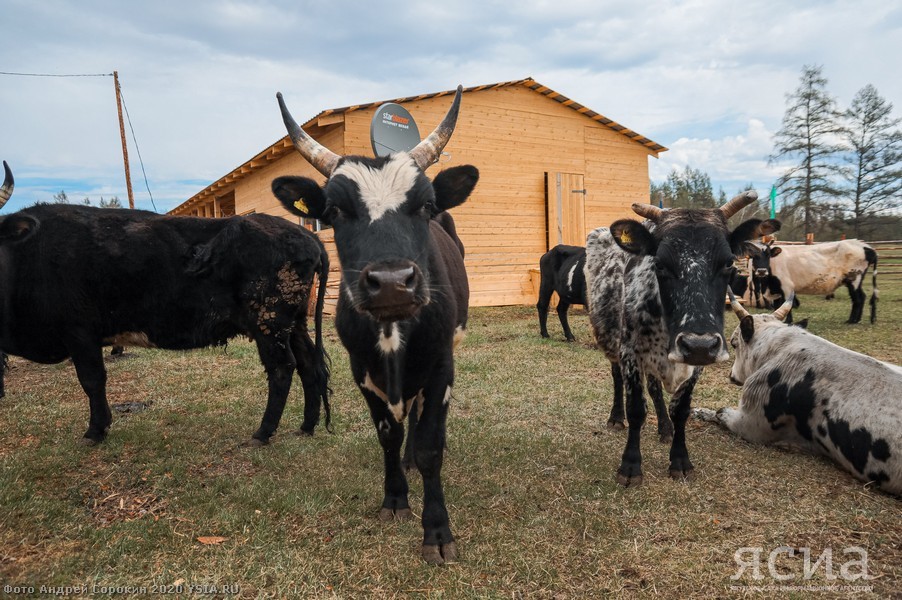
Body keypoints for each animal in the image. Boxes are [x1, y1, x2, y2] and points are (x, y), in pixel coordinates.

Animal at [0, 159, 332, 446]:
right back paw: (307, 425)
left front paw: (95, 431)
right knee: (308, 363)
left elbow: (92, 380)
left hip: (269, 322)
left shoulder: (79, 332)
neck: (30, 254)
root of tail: (305, 234)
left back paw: (263, 432)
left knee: (282, 368)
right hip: (294, 322)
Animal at [270, 86, 476, 564]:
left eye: (426, 205)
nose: (392, 283)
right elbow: (387, 434)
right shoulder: (361, 369)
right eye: (333, 211)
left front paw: (437, 532)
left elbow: (431, 446)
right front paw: (395, 498)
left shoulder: (441, 365)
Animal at [584, 197, 780, 488]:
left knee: (654, 388)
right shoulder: (630, 351)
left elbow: (681, 409)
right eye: (660, 264)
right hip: (611, 341)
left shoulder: (696, 361)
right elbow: (636, 409)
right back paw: (616, 417)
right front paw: (630, 466)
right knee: (617, 376)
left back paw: (664, 428)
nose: (698, 344)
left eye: (728, 263)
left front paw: (679, 460)